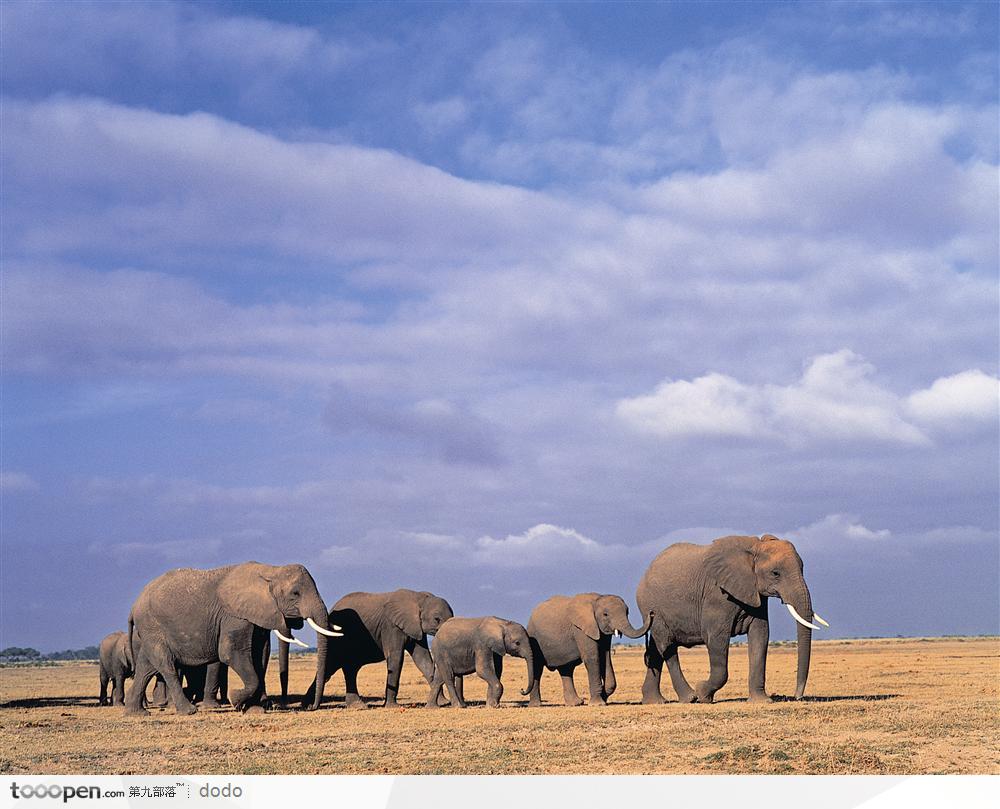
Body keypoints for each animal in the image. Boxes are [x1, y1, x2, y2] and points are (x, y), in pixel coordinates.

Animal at [124, 560, 344, 712]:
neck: (270, 571)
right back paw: (188, 711)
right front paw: (235, 700)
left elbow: (260, 655)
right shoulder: (233, 616)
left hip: (150, 630)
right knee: (165, 663)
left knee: (146, 665)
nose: (310, 707)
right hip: (152, 624)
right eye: (295, 593)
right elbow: (231, 652)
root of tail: (133, 606)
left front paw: (255, 709)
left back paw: (137, 713)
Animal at [294, 588, 456, 708]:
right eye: (437, 619)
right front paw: (392, 707)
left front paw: (443, 702)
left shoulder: (416, 628)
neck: (419, 598)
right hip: (338, 639)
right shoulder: (391, 626)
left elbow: (423, 660)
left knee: (347, 669)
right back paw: (309, 705)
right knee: (333, 666)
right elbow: (396, 657)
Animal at [640, 532, 828, 704]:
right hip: (652, 608)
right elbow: (716, 639)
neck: (755, 548)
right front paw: (703, 694)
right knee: (667, 645)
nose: (797, 696)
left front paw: (761, 701)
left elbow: (760, 636)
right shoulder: (717, 595)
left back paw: (654, 701)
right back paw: (690, 698)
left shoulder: (755, 593)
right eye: (776, 573)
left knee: (656, 649)